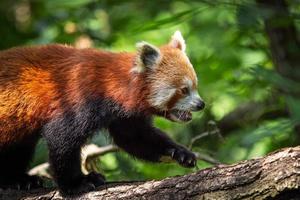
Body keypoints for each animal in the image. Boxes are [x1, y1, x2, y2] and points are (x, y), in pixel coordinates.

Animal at [0, 31, 204, 195]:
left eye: (195, 86)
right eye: (184, 90)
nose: (201, 104)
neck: (112, 83)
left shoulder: (123, 115)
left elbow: (136, 138)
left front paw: (179, 153)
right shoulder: (78, 98)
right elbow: (62, 139)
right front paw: (76, 184)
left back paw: (18, 180)